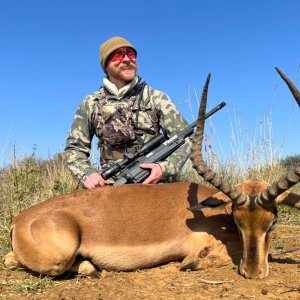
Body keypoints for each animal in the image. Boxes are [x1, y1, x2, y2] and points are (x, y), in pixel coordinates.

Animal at [2, 68, 300, 278]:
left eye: (272, 221)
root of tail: (18, 220)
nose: (254, 273)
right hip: (59, 256)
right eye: (238, 220)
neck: (213, 212)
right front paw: (192, 263)